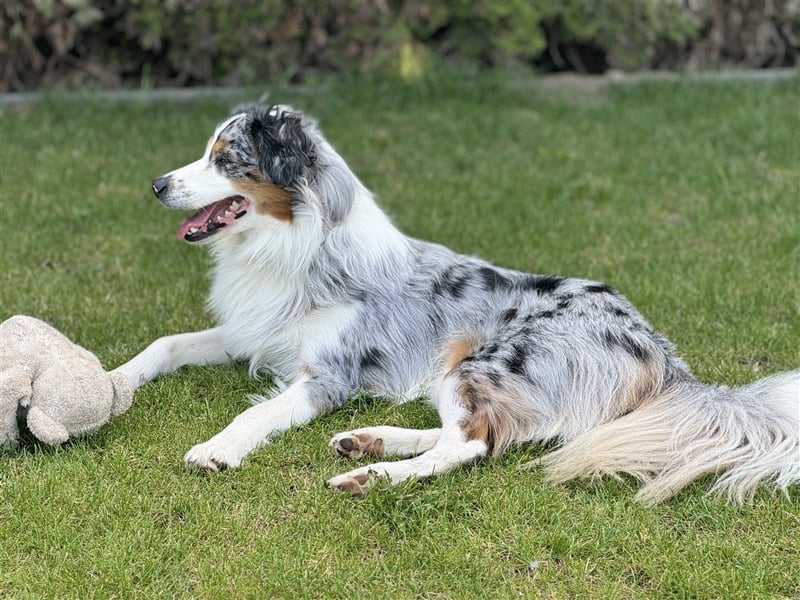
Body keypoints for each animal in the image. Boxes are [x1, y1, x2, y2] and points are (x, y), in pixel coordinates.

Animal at [114, 103, 800, 502]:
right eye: (205, 152)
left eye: (225, 159)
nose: (155, 185)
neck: (296, 245)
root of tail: (659, 350)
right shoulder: (254, 330)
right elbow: (166, 343)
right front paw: (117, 379)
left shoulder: (326, 377)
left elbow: (255, 414)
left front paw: (216, 449)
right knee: (471, 432)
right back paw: (368, 442)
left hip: (484, 359)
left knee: (470, 444)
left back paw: (370, 475)